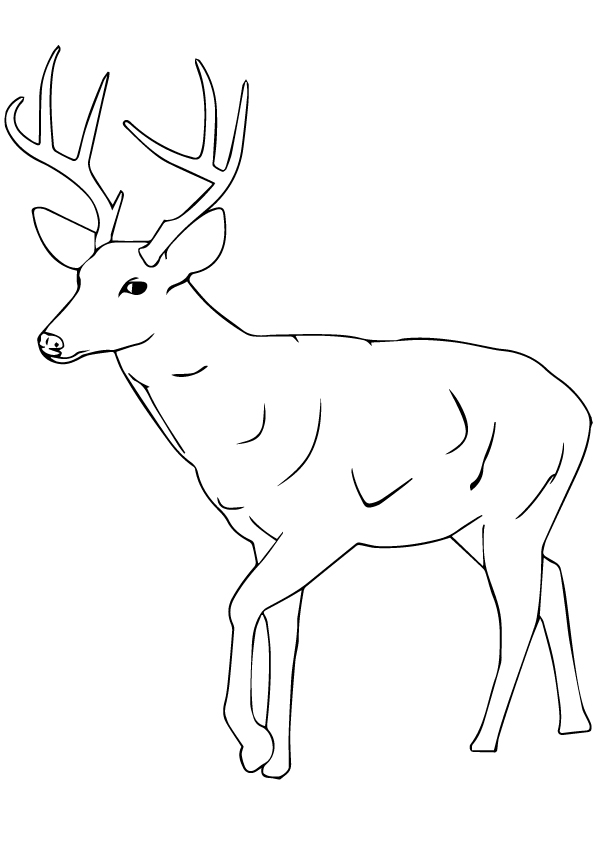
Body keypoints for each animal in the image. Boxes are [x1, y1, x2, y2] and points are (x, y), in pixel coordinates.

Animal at [6, 47, 592, 779]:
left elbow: (241, 605)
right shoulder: (264, 533)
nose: (50, 340)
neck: (239, 418)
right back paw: (572, 722)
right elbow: (282, 626)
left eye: (135, 284)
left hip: (516, 504)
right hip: (477, 520)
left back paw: (481, 739)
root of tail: (578, 409)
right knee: (553, 576)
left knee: (517, 605)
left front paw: (252, 741)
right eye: (78, 275)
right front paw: (277, 758)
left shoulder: (323, 524)